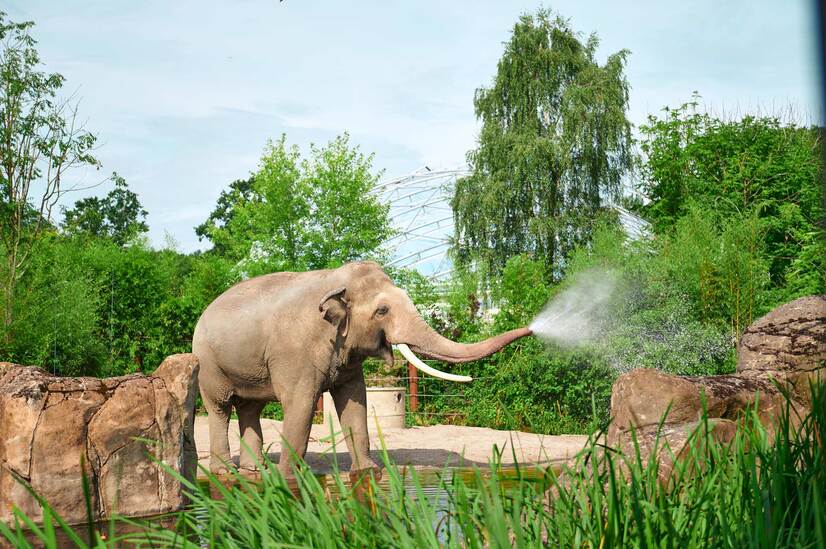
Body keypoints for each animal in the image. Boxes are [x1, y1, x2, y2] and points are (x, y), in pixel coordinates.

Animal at [192, 261, 531, 476]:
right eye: (382, 310)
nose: (532, 327)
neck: (332, 280)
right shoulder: (293, 351)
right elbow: (300, 405)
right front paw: (290, 477)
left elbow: (355, 402)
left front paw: (368, 472)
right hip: (208, 363)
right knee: (220, 407)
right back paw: (226, 471)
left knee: (251, 407)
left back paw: (254, 468)